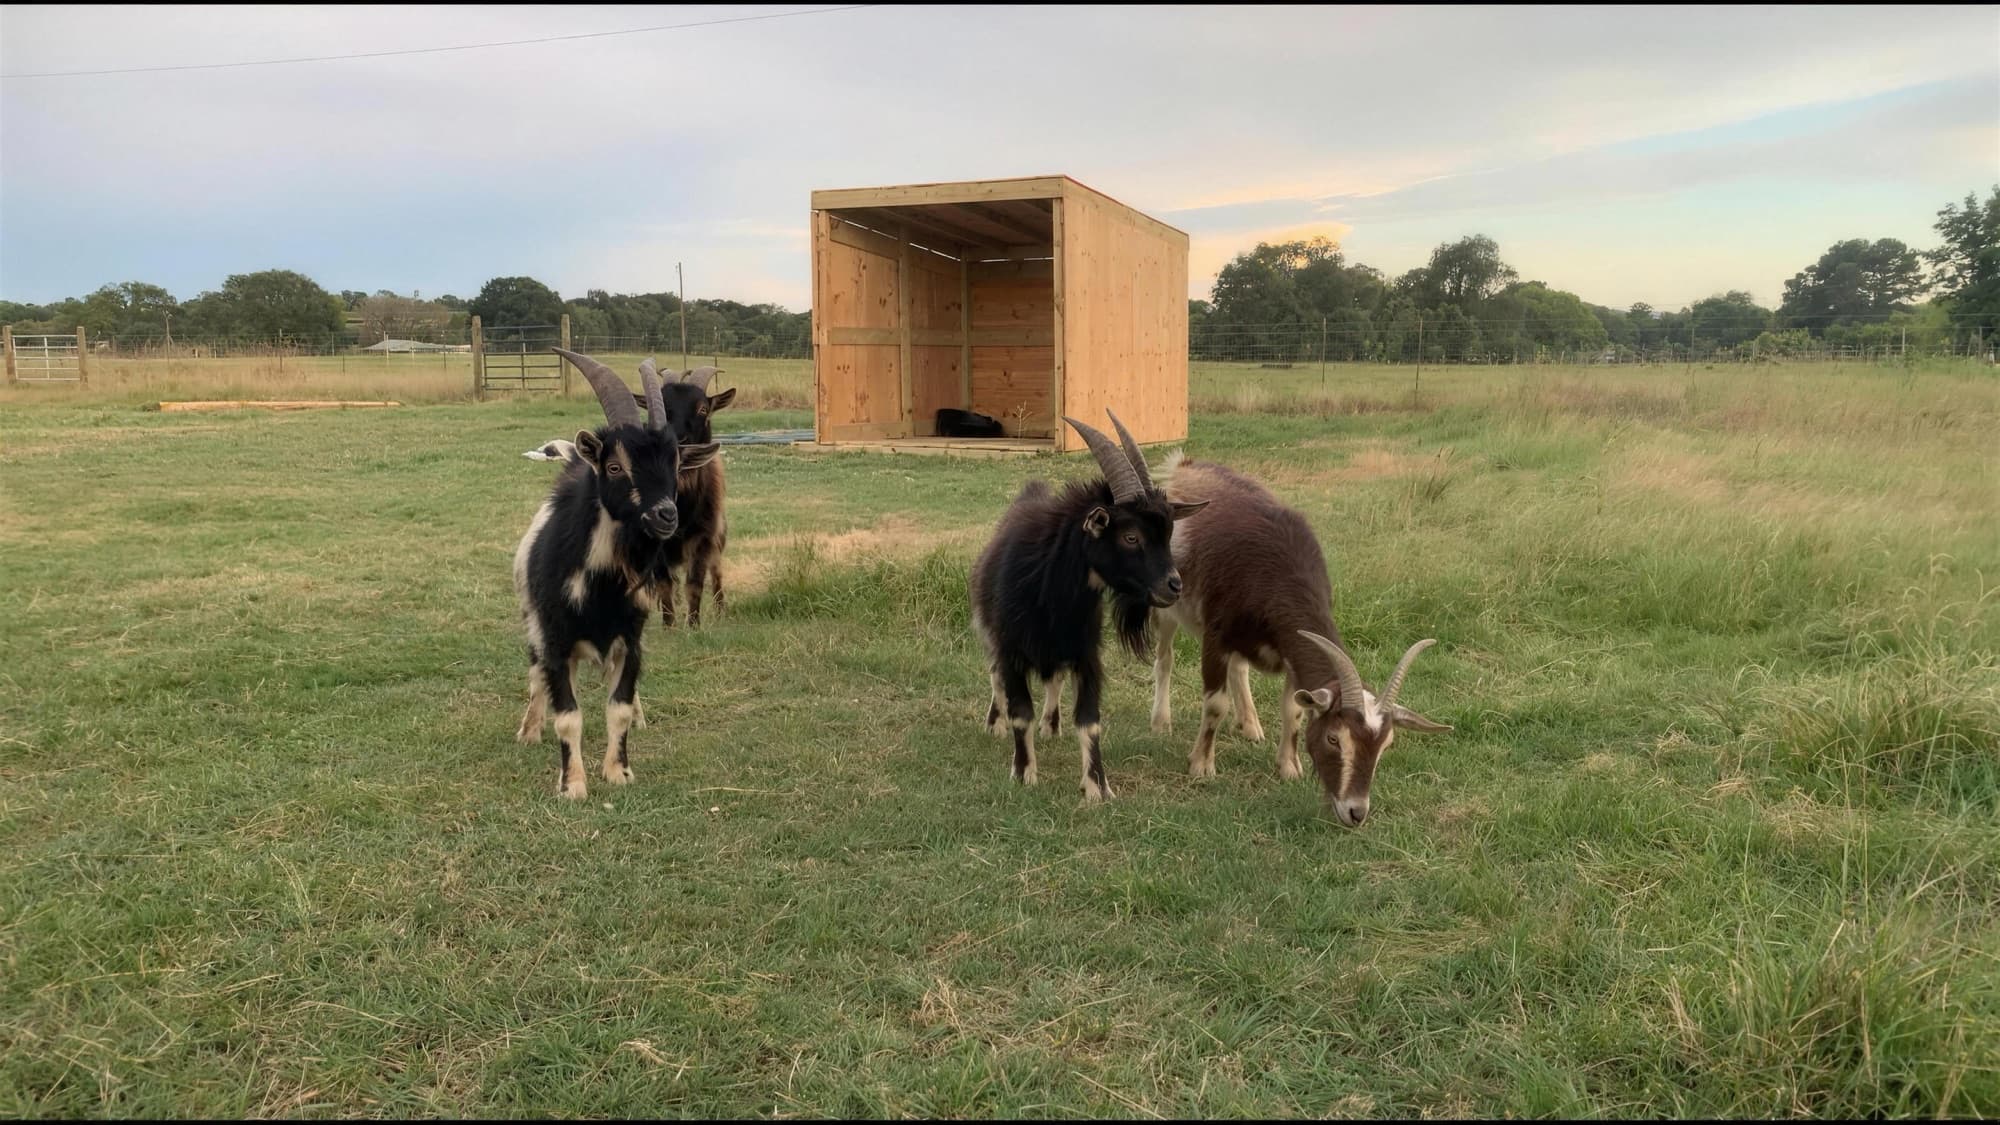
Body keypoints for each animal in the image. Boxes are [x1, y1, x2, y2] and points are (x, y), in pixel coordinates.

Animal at [513, 347, 717, 799]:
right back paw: (529, 729)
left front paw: (618, 771)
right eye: (614, 467)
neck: (599, 588)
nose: (666, 515)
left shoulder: (630, 639)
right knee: (536, 676)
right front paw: (572, 785)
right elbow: (567, 714)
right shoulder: (556, 639)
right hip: (533, 621)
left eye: (676, 463)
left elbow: (619, 706)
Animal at [969, 411, 1207, 801]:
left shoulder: (1086, 653)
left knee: (1054, 680)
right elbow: (1020, 711)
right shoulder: (1012, 650)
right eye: (1131, 536)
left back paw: (1052, 725)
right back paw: (995, 723)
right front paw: (1023, 772)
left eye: (1170, 533)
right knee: (995, 676)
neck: (1051, 592)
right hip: (992, 635)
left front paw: (1098, 786)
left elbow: (1089, 719)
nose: (1174, 586)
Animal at [1148, 452, 1449, 825]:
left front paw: (1289, 767)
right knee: (1165, 658)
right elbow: (1215, 704)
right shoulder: (1216, 637)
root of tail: (1184, 465)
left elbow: (1292, 710)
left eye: (1387, 745)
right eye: (1334, 739)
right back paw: (1161, 722)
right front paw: (1201, 765)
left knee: (1239, 669)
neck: (1278, 575)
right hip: (1166, 605)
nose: (1356, 812)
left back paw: (1250, 724)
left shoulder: (1290, 652)